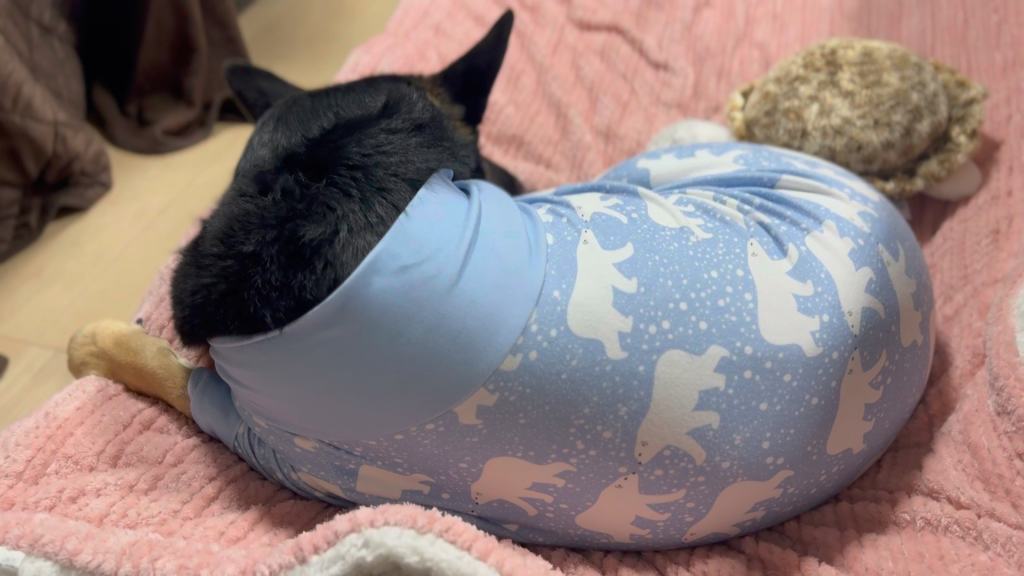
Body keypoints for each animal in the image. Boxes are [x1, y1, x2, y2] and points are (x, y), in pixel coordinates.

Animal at [68, 11, 934, 550]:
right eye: (486, 169)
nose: (514, 187)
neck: (327, 189)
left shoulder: (241, 423)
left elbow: (150, 361)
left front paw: (96, 343)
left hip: (654, 168)